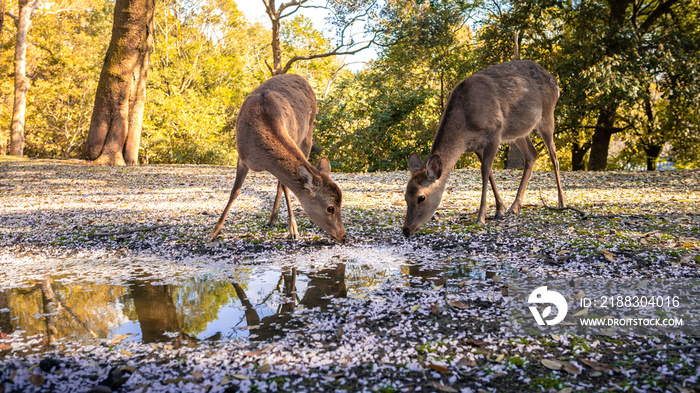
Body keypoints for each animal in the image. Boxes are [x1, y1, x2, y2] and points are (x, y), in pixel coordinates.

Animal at [209, 73, 348, 242]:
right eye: (331, 208)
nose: (343, 235)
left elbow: (284, 186)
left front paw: (293, 229)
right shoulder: (242, 157)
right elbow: (235, 191)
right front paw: (214, 232)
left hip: (308, 134)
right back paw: (272, 219)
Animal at [402, 59, 568, 236]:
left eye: (421, 197)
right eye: (405, 196)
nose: (406, 229)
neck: (465, 126)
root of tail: (555, 82)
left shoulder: (495, 132)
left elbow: (485, 171)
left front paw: (481, 217)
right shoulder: (476, 146)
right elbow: (489, 174)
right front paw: (499, 210)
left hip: (547, 115)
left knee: (554, 156)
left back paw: (561, 202)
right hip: (518, 131)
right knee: (532, 154)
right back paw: (514, 206)